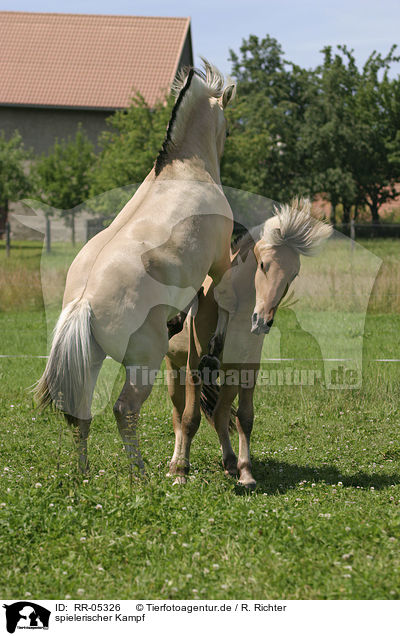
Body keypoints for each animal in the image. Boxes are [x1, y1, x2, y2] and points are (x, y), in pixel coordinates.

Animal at [36, 60, 236, 472]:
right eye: (228, 125)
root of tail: (84, 302)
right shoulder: (220, 262)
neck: (185, 168)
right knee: (124, 409)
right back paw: (140, 473)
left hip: (91, 360)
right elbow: (222, 304)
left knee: (81, 415)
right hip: (143, 363)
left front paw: (182, 320)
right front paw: (213, 346)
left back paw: (84, 474)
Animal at [166, 199, 332, 486]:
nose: (263, 321)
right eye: (263, 265)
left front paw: (245, 473)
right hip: (172, 369)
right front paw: (180, 473)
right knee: (179, 415)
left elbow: (245, 418)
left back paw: (231, 463)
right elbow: (189, 419)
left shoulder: (246, 368)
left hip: (228, 377)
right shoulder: (193, 366)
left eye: (294, 274)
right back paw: (175, 463)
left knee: (220, 414)